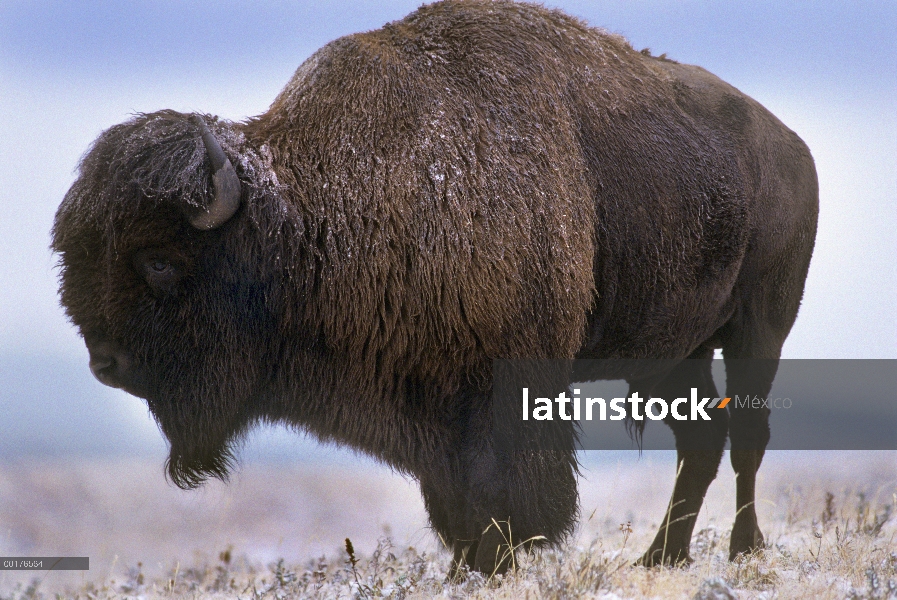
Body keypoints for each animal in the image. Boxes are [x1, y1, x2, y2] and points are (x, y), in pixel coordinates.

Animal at [50, 0, 820, 576]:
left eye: (158, 262)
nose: (105, 364)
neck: (309, 214)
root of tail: (792, 146)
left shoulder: (504, 385)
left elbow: (503, 488)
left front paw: (498, 560)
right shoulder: (432, 401)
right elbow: (456, 497)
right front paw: (468, 565)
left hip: (759, 329)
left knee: (746, 436)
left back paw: (740, 550)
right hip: (670, 352)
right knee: (701, 440)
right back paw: (661, 558)